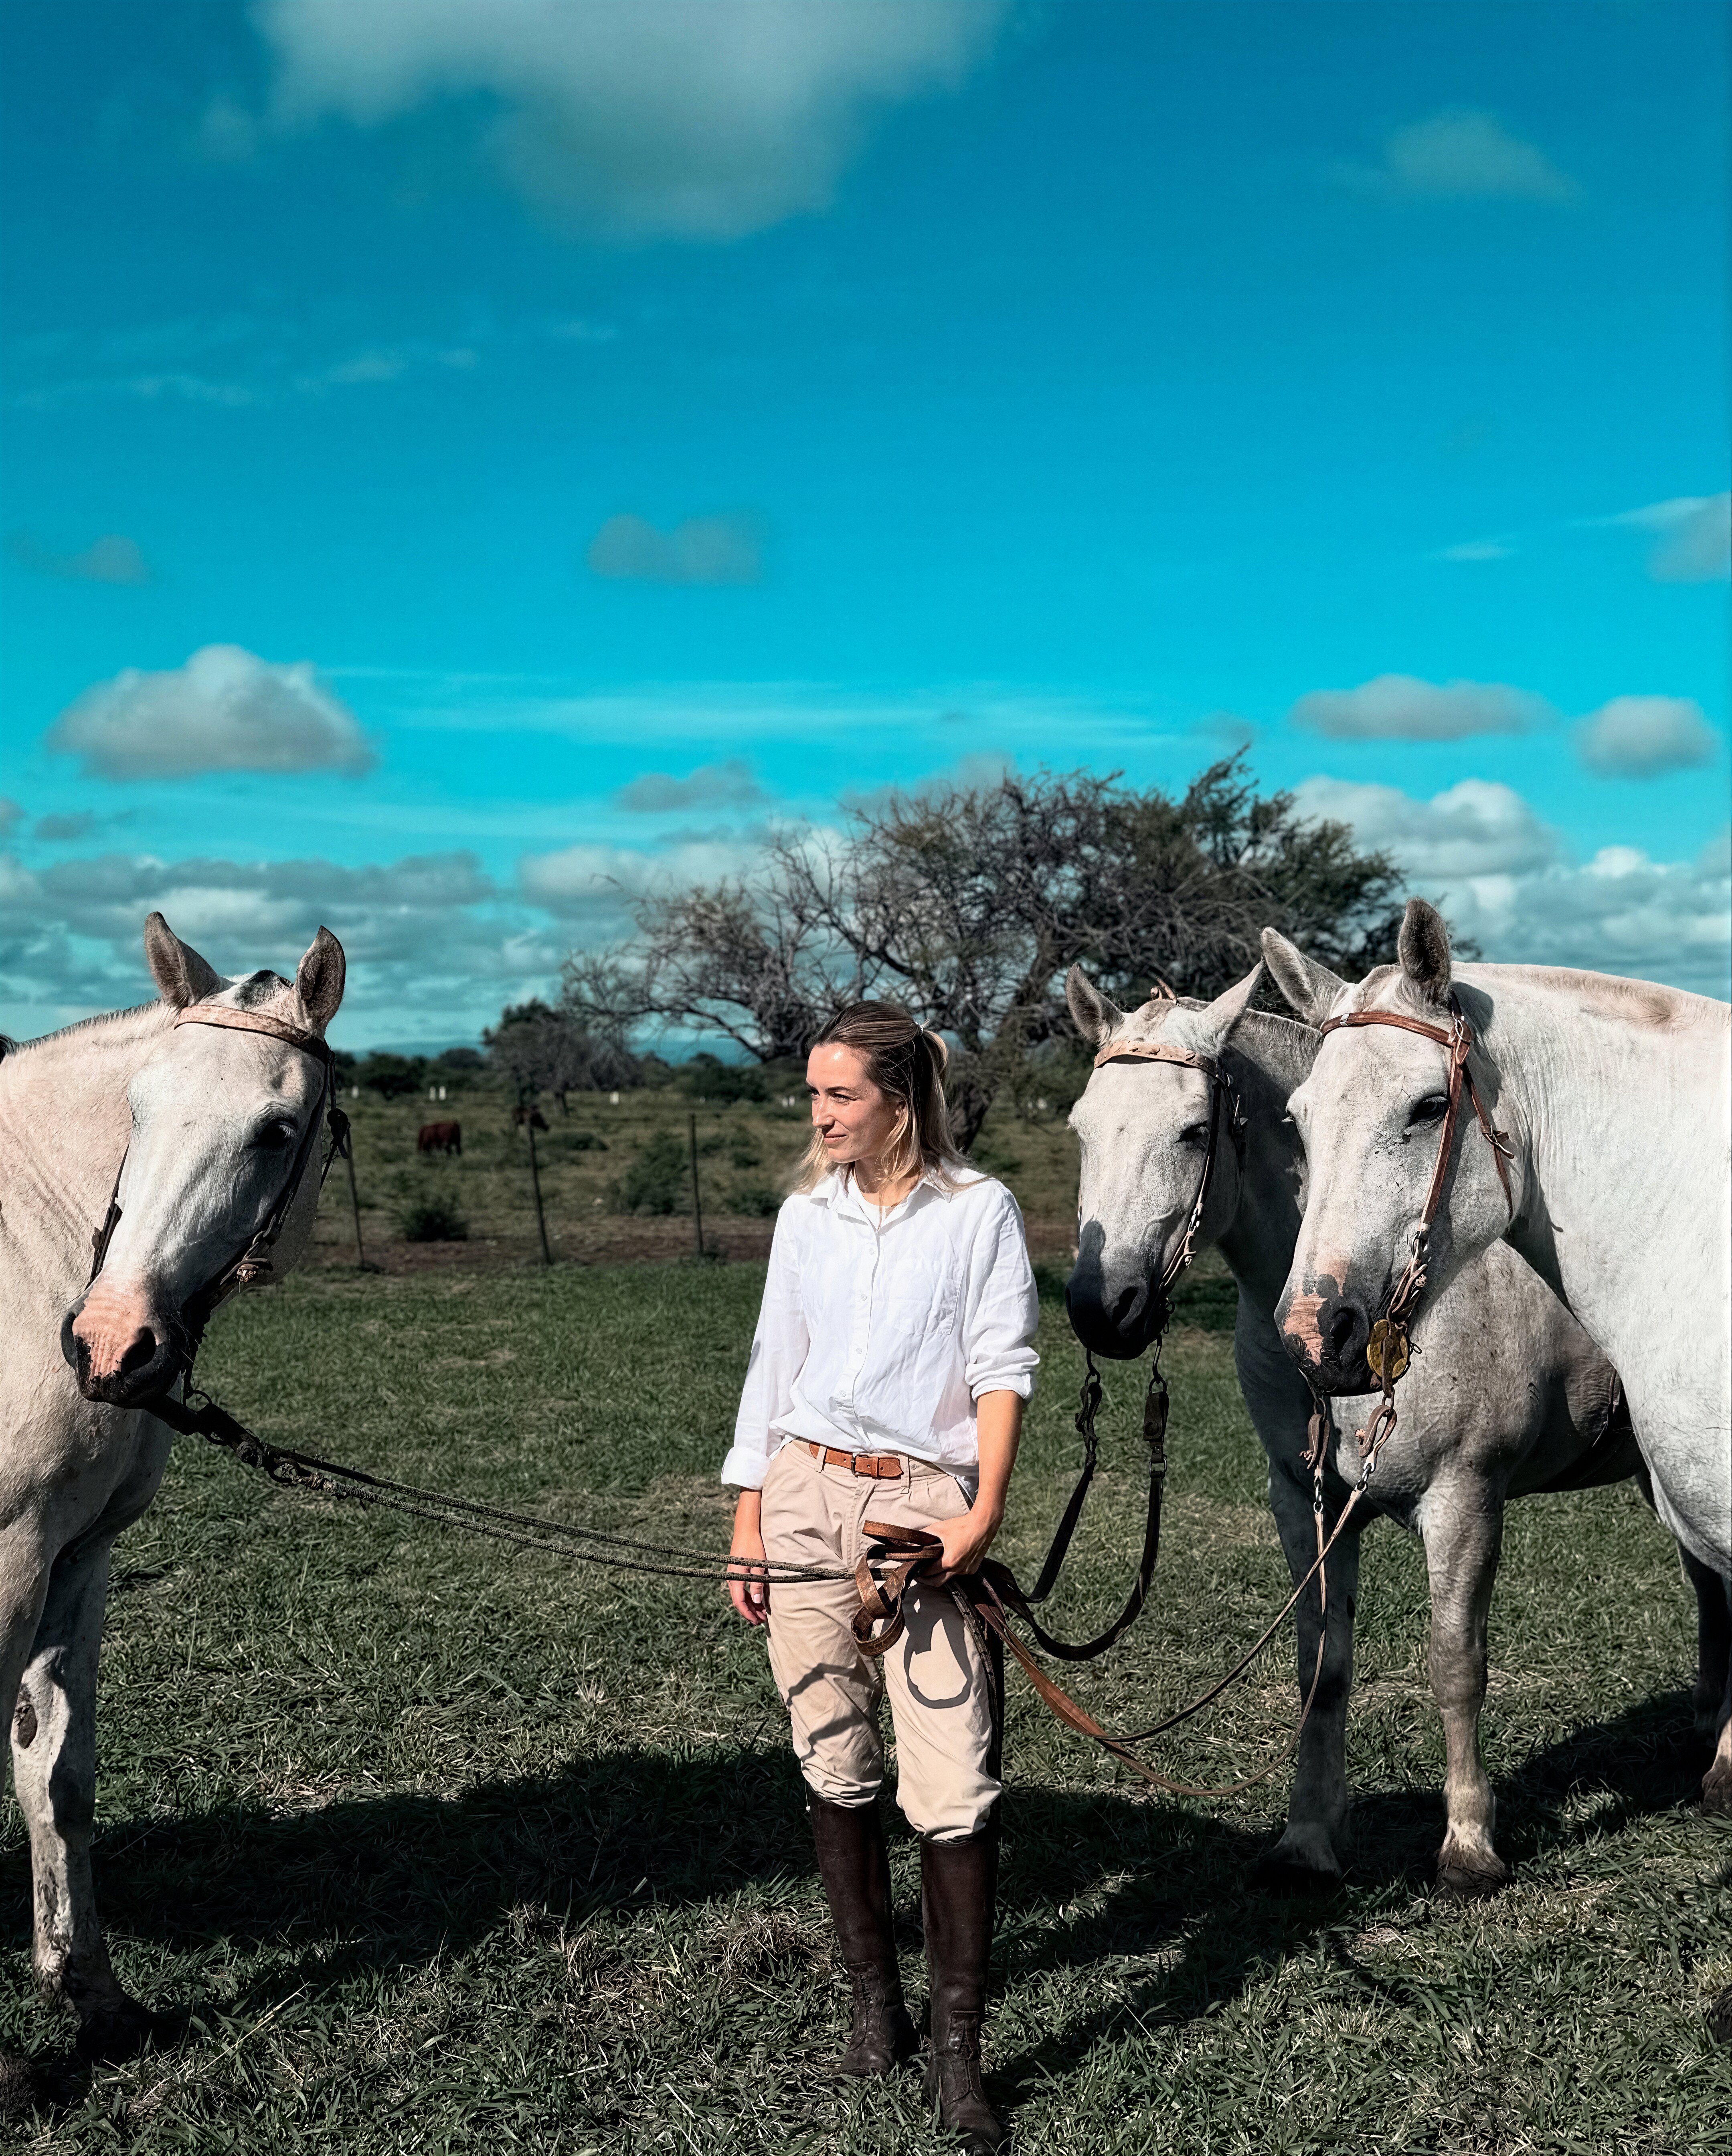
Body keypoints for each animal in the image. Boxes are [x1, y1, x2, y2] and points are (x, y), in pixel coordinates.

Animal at [0, 911, 344, 2086]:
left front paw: (95, 2000)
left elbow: (58, 1779)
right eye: (139, 1110)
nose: (111, 1346)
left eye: (278, 1132)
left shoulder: (73, 1560)